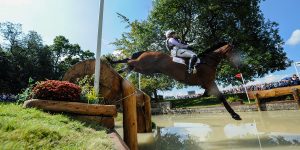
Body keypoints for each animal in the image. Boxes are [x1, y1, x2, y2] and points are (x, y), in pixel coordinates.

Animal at [108, 42, 241, 120]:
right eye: (234, 51)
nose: (239, 63)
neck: (208, 61)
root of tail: (148, 51)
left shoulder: (207, 84)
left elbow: (213, 95)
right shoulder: (209, 82)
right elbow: (222, 97)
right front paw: (235, 115)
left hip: (144, 69)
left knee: (129, 63)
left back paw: (118, 69)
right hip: (142, 64)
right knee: (129, 61)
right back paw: (111, 62)